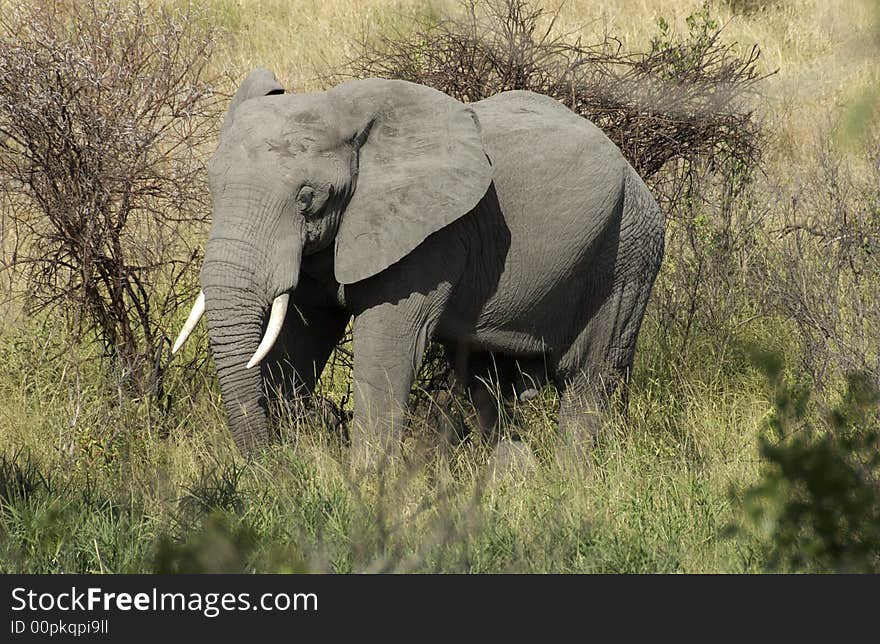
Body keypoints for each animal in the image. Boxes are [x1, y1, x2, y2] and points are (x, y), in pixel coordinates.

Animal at [172, 69, 664, 462]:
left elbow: (387, 346)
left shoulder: (431, 239)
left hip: (629, 253)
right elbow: (300, 339)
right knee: (490, 383)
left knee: (589, 381)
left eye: (308, 197)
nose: (268, 463)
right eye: (212, 185)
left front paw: (366, 486)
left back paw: (570, 480)